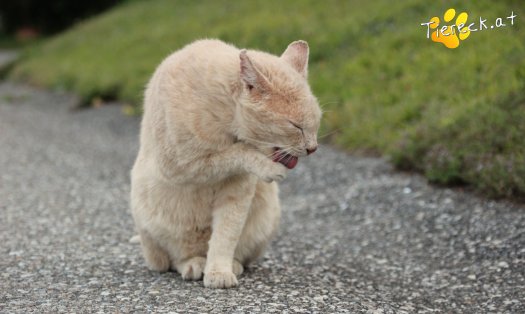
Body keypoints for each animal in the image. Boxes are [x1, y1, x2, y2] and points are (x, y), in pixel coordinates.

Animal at [129, 38, 322, 288]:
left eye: (316, 122)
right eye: (295, 126)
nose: (313, 148)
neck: (224, 112)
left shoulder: (237, 193)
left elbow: (225, 235)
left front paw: (219, 271)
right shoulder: (180, 165)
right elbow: (235, 152)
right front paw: (268, 167)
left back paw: (232, 265)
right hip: (155, 233)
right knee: (175, 259)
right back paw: (194, 264)